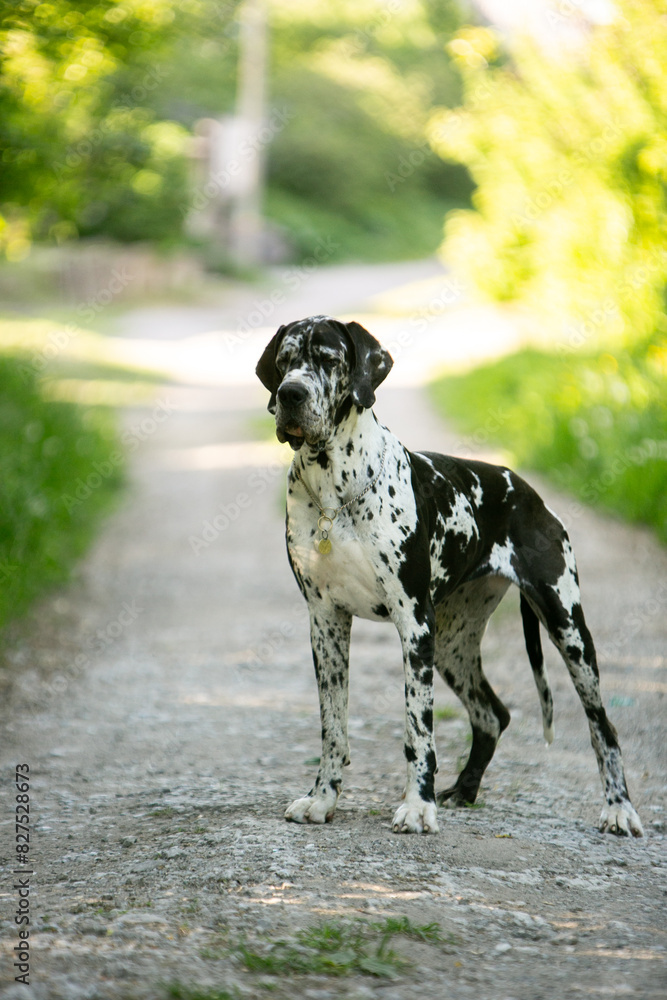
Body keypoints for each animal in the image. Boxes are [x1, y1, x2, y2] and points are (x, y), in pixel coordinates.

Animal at [256, 314, 640, 836]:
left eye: (329, 359)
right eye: (284, 360)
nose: (291, 393)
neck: (335, 489)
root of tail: (528, 492)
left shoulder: (413, 623)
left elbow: (419, 730)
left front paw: (417, 807)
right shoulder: (325, 624)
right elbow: (333, 727)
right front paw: (322, 799)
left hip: (567, 630)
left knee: (604, 726)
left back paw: (619, 809)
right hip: (453, 643)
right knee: (493, 715)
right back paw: (465, 790)